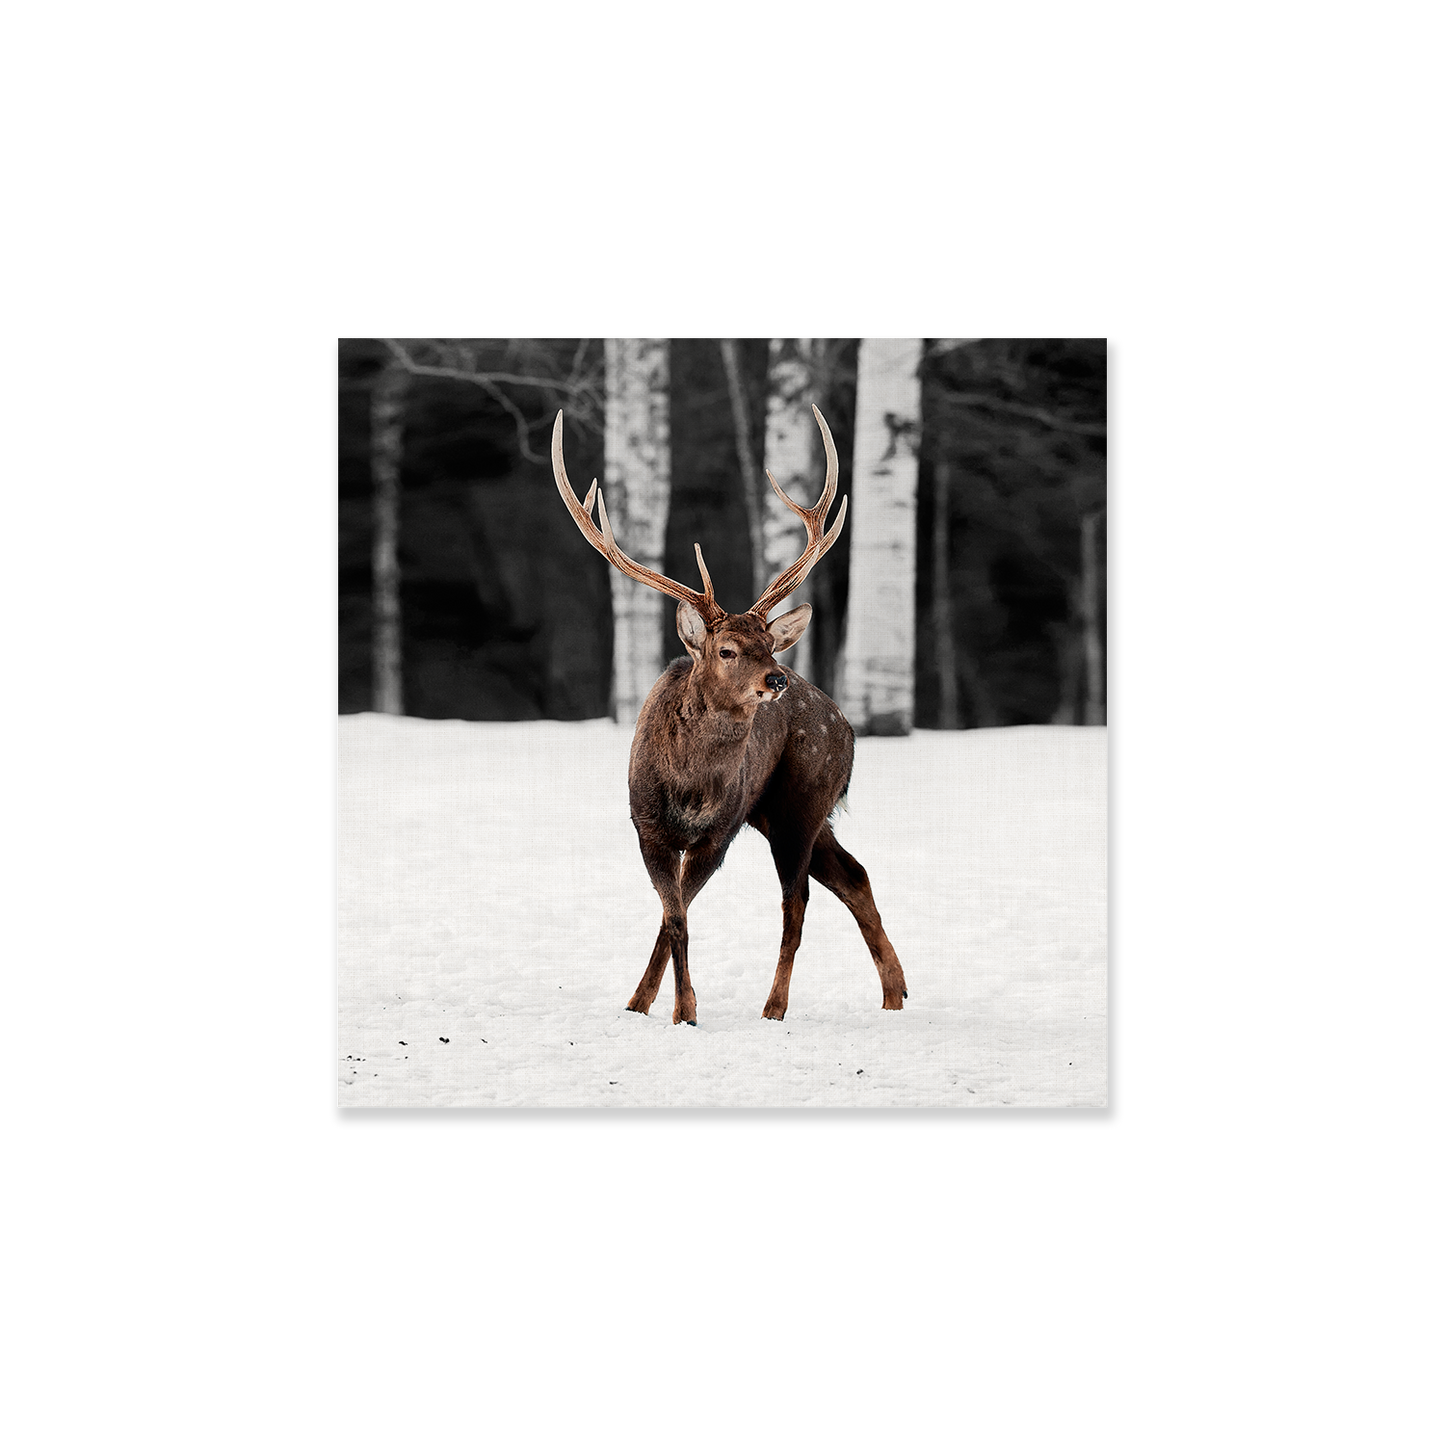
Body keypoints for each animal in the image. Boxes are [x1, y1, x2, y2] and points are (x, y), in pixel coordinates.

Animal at [553, 405, 907, 1025]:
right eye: (727, 650)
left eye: (769, 644)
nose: (777, 678)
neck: (689, 788)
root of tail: (846, 726)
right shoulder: (648, 828)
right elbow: (673, 917)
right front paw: (644, 1004)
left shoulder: (718, 833)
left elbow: (679, 916)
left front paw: (683, 1010)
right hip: (784, 812)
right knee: (853, 875)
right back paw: (895, 993)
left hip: (800, 802)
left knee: (797, 903)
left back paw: (776, 1007)